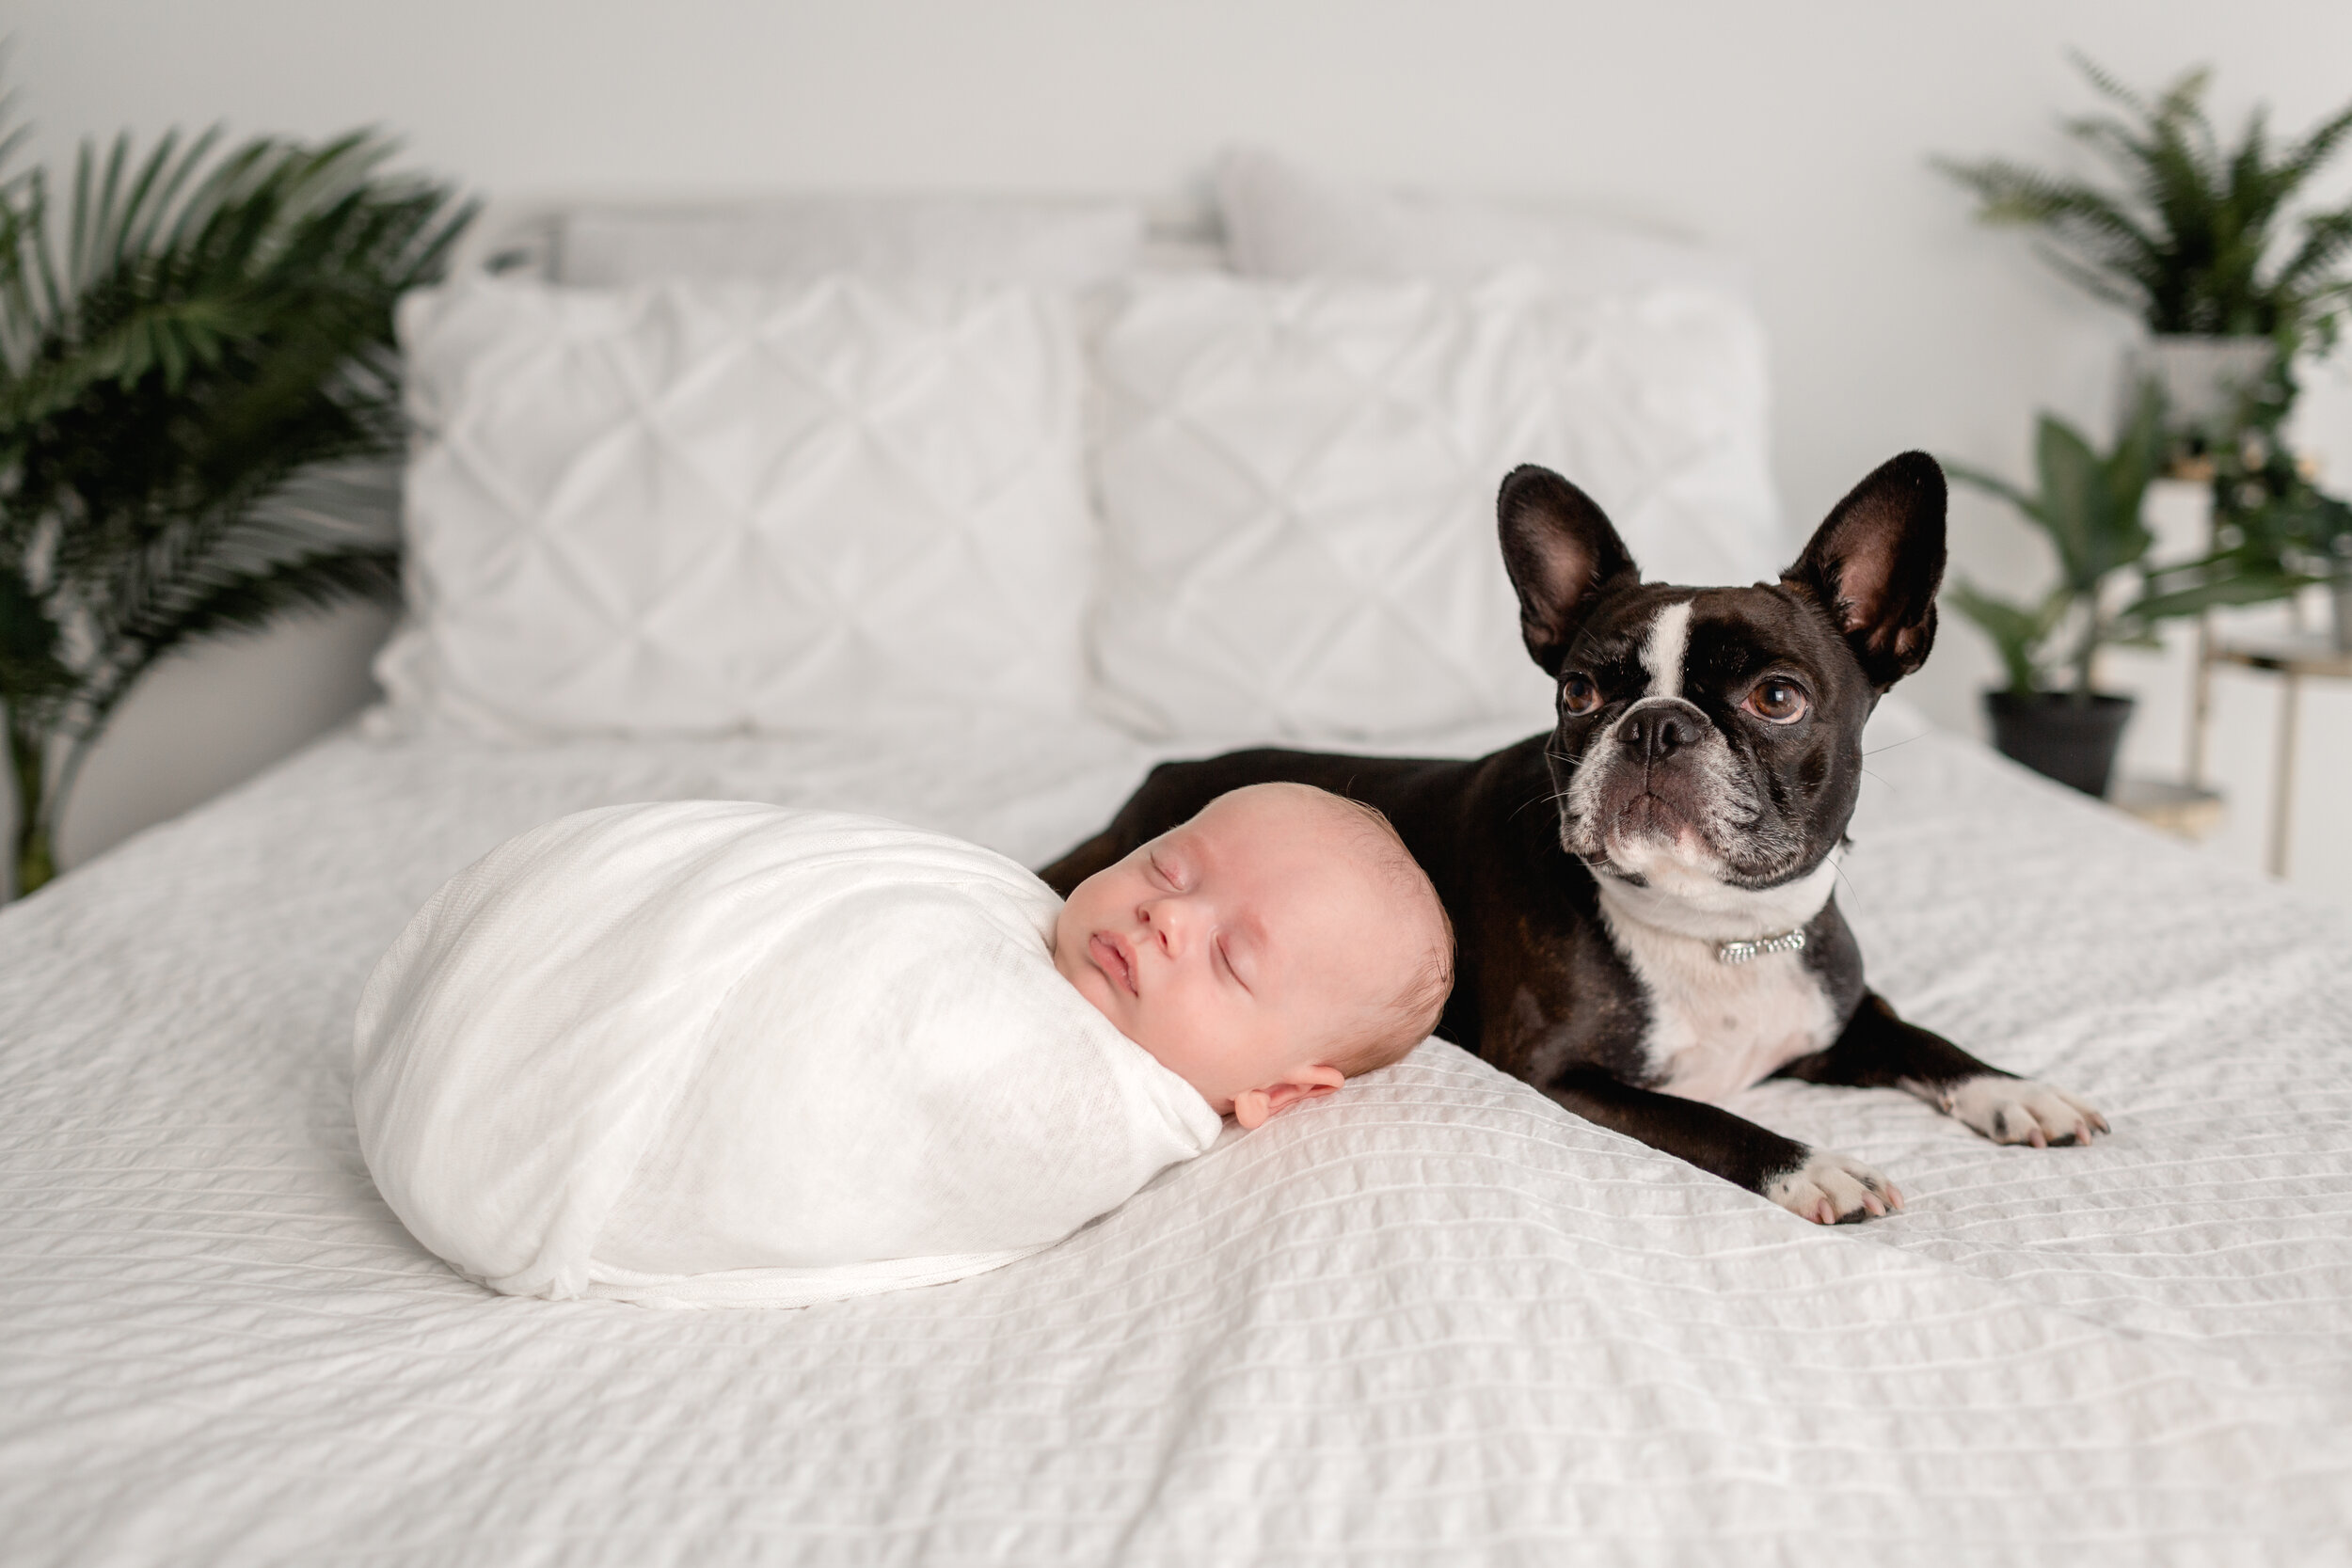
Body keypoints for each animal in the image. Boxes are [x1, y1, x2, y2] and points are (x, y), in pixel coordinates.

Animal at [1040, 453, 2107, 1222]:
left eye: (1778, 697)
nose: (1656, 725)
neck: (1713, 932)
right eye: (1580, 692)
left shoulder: (1838, 1013)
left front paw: (2016, 1090)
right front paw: (1813, 1164)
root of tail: (1153, 783)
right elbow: (1710, 1116)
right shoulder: (1563, 1073)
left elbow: (1923, 1036)